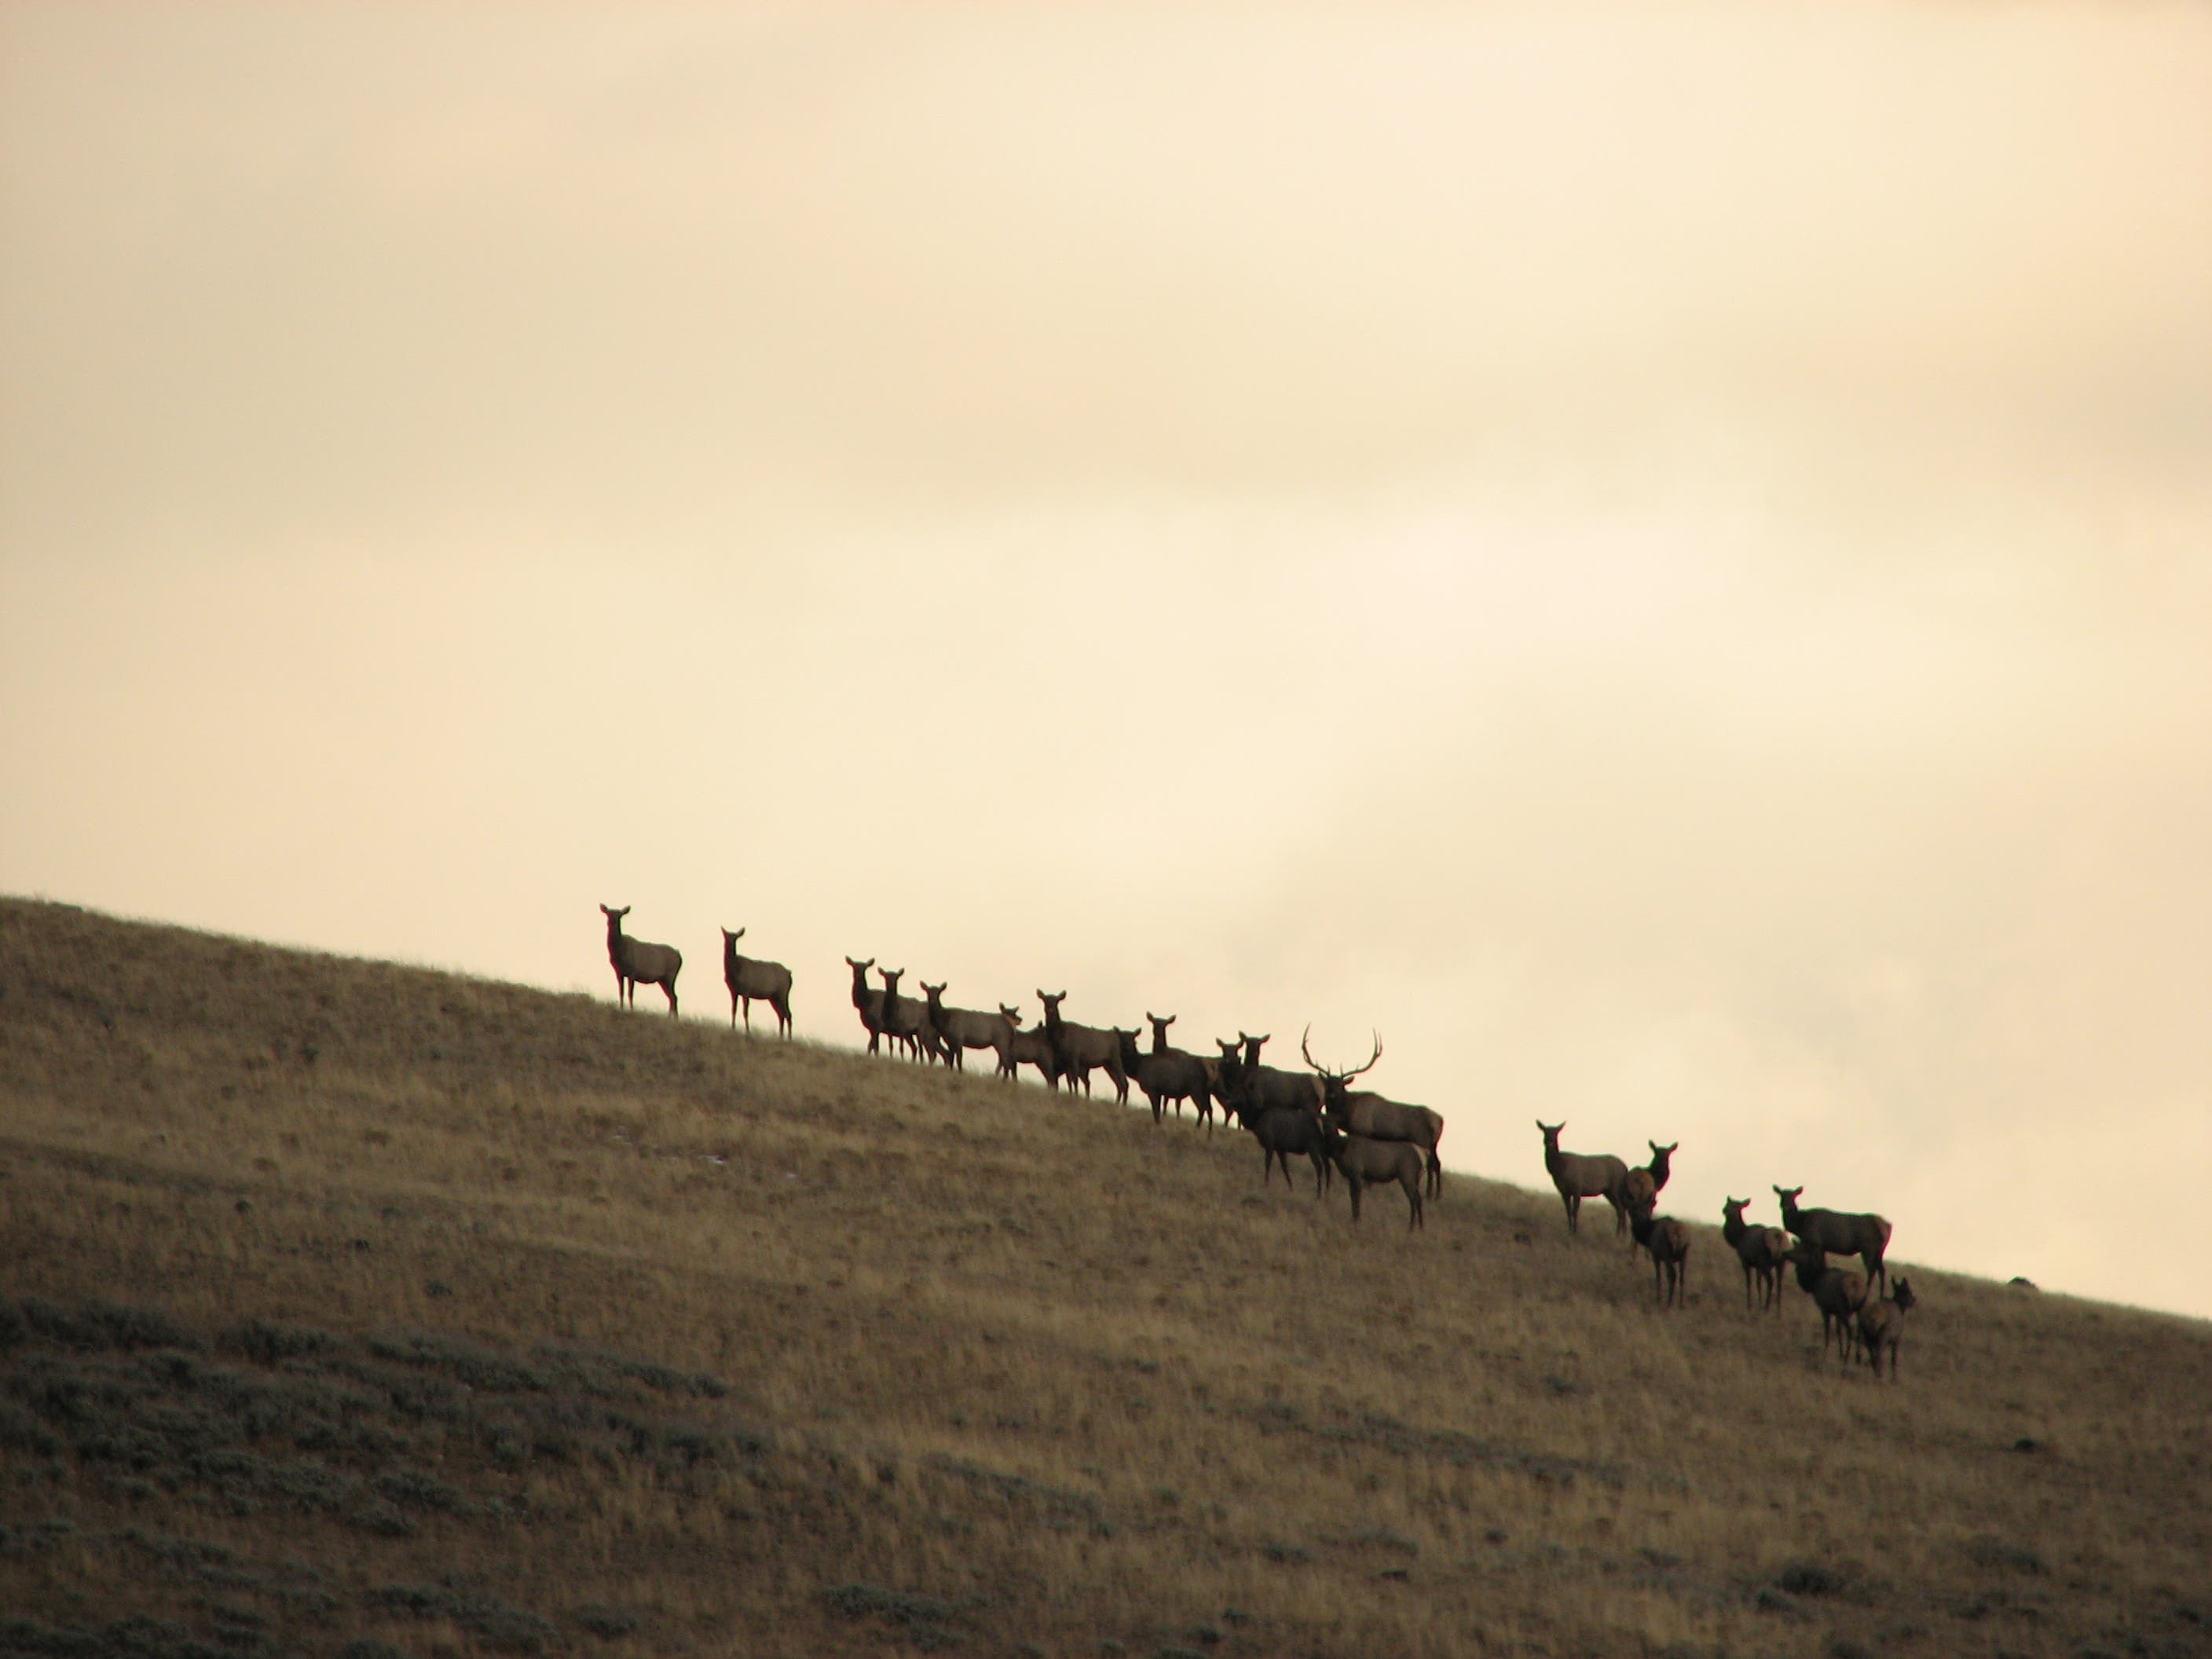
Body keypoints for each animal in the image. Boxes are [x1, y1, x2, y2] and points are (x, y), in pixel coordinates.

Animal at [600, 905, 681, 1017]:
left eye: (620, 916)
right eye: (608, 914)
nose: (612, 922)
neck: (619, 953)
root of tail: (679, 956)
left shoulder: (632, 971)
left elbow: (630, 993)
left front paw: (631, 1010)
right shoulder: (619, 972)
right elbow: (621, 992)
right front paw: (621, 1008)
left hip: (670, 975)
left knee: (673, 997)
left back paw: (670, 1017)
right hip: (663, 979)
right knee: (673, 996)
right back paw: (673, 1018)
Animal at [719, 927, 792, 1037]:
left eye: (736, 938)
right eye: (726, 936)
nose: (730, 946)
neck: (734, 972)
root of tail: (789, 974)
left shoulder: (746, 990)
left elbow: (745, 1012)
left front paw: (747, 1031)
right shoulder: (733, 991)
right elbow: (733, 1009)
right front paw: (732, 1028)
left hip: (782, 993)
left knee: (787, 1014)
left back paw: (789, 1037)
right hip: (774, 997)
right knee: (781, 1014)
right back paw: (781, 1036)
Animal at [1303, 1030, 1444, 1199]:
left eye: (1341, 1085)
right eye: (1327, 1083)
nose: (1330, 1095)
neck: (1348, 1114)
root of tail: (1439, 1121)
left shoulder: (1362, 1130)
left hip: (1421, 1139)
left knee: (1431, 1165)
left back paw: (1430, 1195)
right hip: (1433, 1144)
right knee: (1437, 1163)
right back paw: (1435, 1196)